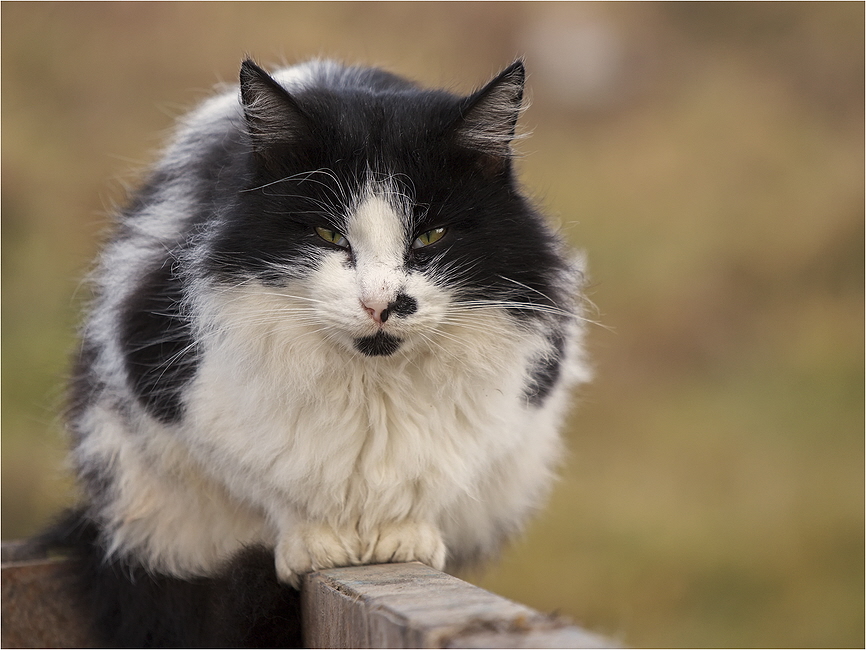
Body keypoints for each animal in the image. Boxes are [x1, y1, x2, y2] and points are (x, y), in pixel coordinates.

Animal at [44, 58, 592, 644]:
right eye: (328, 235)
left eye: (430, 236)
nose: (381, 304)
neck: (373, 388)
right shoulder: (173, 392)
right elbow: (269, 481)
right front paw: (316, 542)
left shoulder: (516, 403)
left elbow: (430, 478)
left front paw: (403, 535)